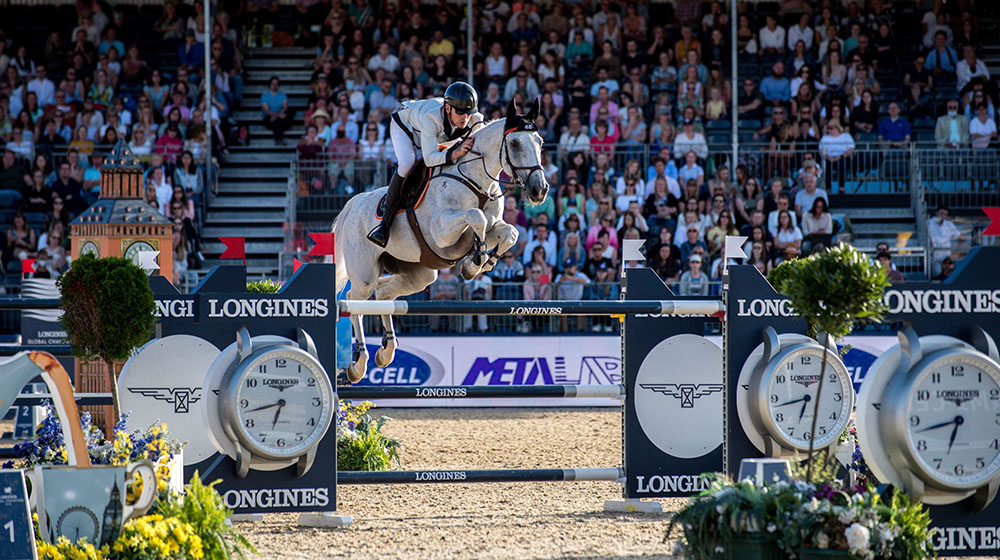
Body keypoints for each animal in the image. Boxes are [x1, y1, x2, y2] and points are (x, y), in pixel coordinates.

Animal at [334, 98, 552, 382]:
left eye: (540, 141)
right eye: (514, 143)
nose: (540, 190)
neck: (475, 180)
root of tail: (354, 203)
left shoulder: (490, 227)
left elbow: (509, 233)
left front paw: (484, 262)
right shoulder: (441, 233)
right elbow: (476, 216)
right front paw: (474, 262)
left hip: (420, 274)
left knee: (383, 293)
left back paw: (387, 351)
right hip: (364, 274)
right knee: (356, 303)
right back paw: (359, 363)